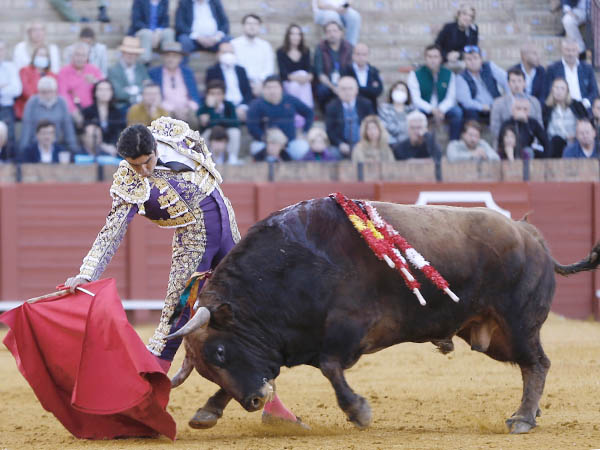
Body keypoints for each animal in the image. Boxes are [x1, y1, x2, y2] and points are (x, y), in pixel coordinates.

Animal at [166, 199, 600, 434]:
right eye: (207, 365)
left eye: (220, 352)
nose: (255, 402)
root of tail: (532, 235)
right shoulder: (284, 346)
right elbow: (262, 374)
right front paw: (207, 411)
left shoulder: (347, 329)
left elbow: (330, 367)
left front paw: (359, 411)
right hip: (493, 336)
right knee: (530, 366)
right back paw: (531, 412)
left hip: (517, 325)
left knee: (537, 363)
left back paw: (523, 418)